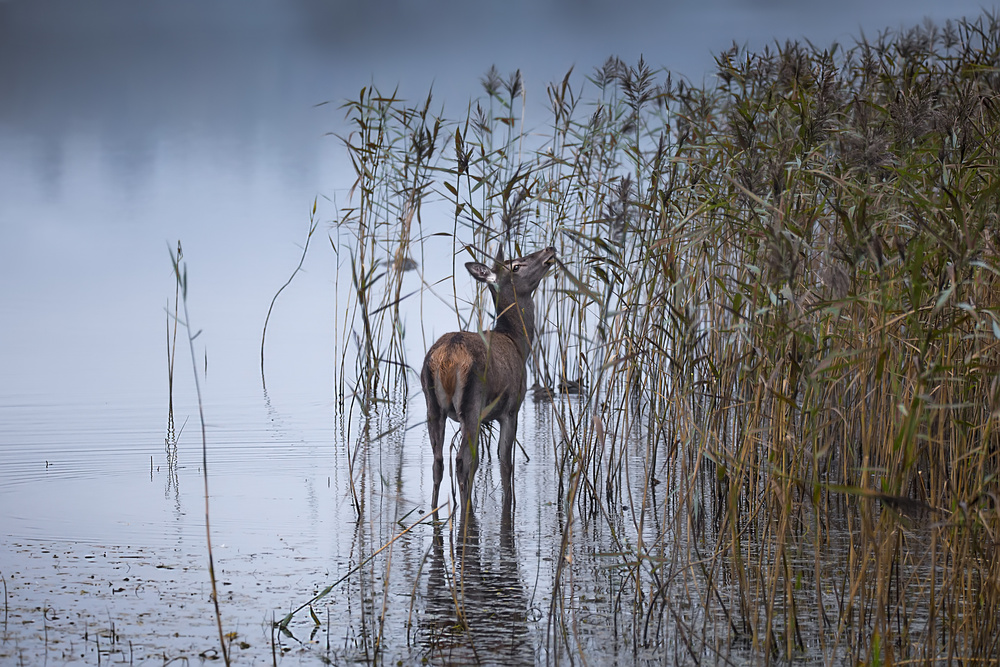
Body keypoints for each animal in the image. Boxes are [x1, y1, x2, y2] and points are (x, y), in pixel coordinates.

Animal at [421, 245, 557, 509]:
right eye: (515, 265)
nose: (549, 249)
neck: (518, 342)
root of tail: (447, 357)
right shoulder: (511, 409)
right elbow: (504, 462)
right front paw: (509, 502)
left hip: (432, 404)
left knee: (438, 461)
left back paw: (433, 508)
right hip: (472, 403)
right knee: (462, 461)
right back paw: (466, 509)